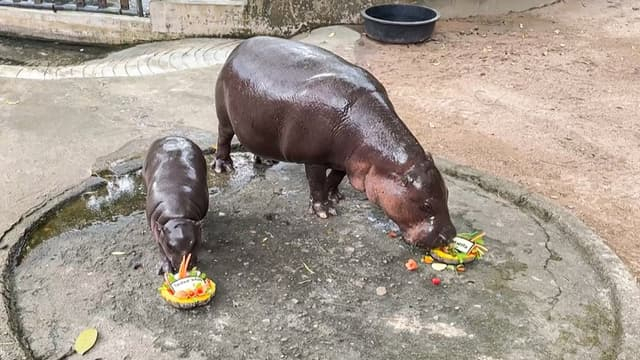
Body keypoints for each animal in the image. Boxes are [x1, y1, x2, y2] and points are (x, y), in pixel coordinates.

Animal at [215, 37, 456, 250]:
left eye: (447, 193)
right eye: (425, 205)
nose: (450, 236)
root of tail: (239, 47)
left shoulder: (347, 159)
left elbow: (335, 177)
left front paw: (335, 196)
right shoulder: (314, 158)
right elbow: (316, 182)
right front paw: (325, 211)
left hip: (258, 125)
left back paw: (266, 160)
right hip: (224, 117)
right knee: (223, 138)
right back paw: (223, 167)